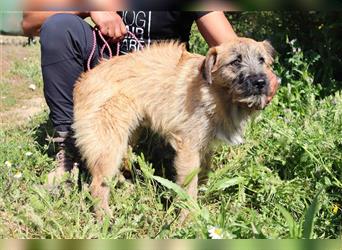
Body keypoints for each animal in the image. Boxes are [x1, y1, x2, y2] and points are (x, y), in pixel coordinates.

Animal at [73, 37, 276, 219]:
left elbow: (203, 175)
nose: (260, 82)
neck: (212, 91)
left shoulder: (205, 147)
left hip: (127, 137)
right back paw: (106, 220)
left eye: (262, 60)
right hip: (109, 144)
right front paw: (188, 220)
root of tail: (83, 80)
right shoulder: (188, 149)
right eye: (235, 61)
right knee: (96, 186)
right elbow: (189, 188)